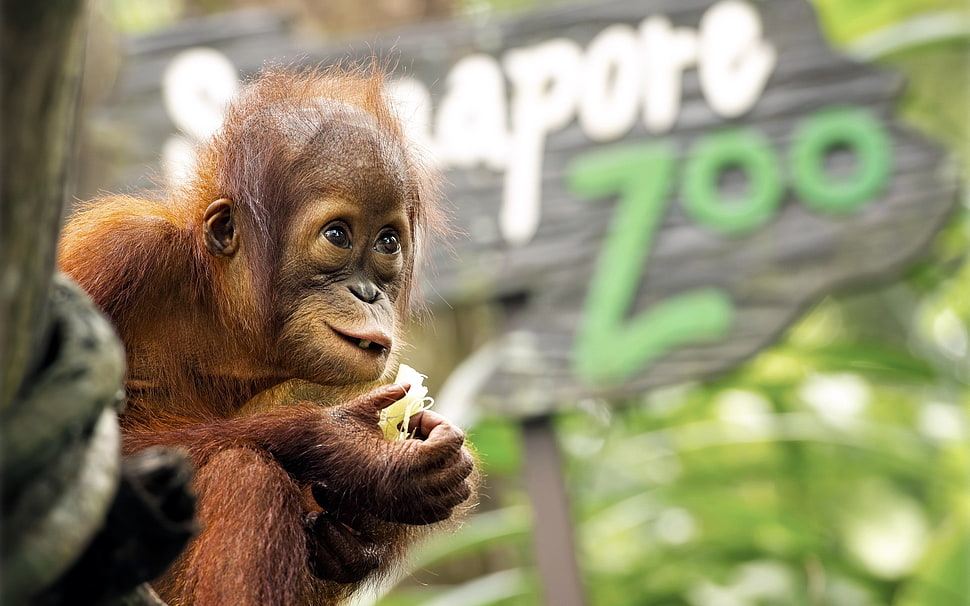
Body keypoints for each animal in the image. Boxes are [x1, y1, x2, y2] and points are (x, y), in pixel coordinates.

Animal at [57, 64, 477, 605]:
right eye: (338, 235)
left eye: (388, 242)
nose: (367, 293)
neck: (218, 311)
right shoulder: (116, 256)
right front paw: (355, 453)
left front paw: (364, 534)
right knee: (245, 472)